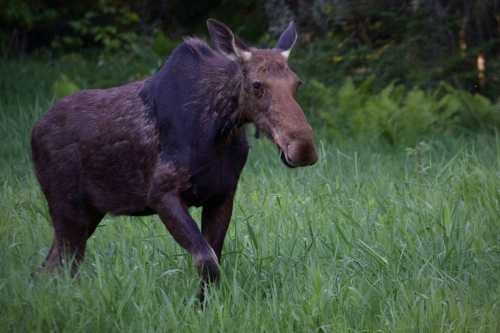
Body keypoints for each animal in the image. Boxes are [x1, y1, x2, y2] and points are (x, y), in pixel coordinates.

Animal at [32, 18, 316, 288]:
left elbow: (215, 260)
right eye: (257, 85)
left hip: (89, 211)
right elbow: (207, 261)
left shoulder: (222, 195)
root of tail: (34, 131)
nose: (303, 148)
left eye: (297, 83)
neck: (218, 130)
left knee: (51, 266)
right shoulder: (161, 193)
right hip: (67, 206)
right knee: (59, 266)